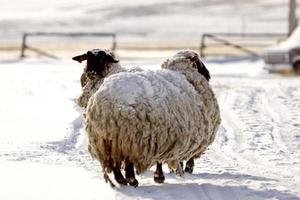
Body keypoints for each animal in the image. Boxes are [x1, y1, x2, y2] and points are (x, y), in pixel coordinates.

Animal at [72, 49, 220, 187]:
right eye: (88, 58)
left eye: (102, 58)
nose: (208, 75)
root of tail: (106, 105)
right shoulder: (161, 137)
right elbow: (160, 159)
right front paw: (160, 176)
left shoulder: (162, 137)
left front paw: (161, 176)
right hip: (129, 138)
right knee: (126, 162)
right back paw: (131, 180)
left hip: (109, 140)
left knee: (115, 162)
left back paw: (123, 180)